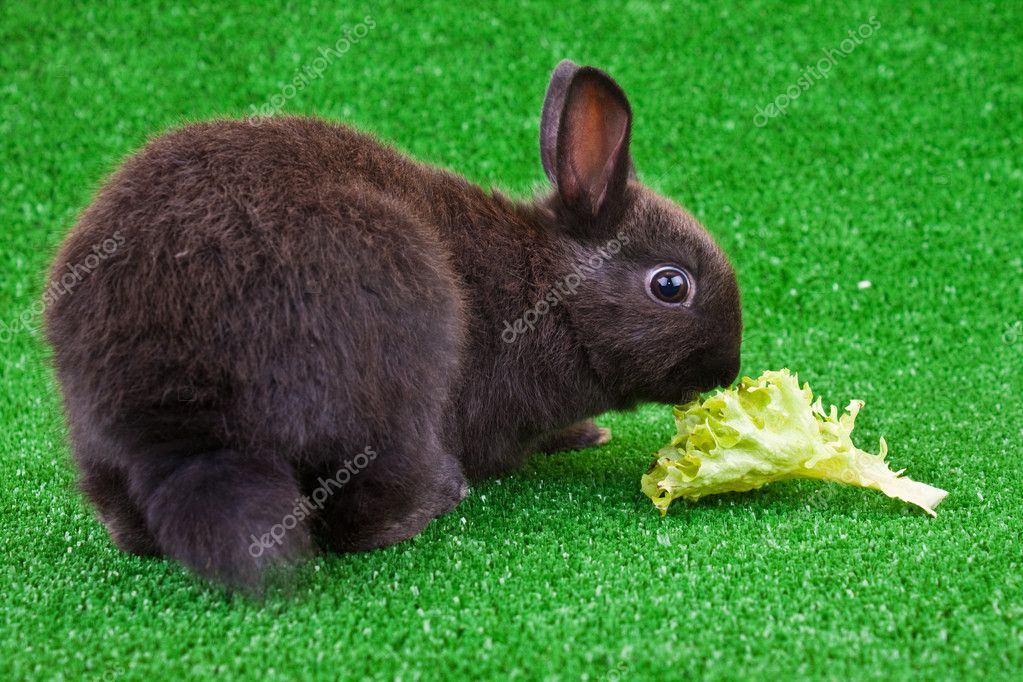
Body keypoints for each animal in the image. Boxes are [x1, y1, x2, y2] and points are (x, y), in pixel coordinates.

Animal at [44, 60, 742, 587]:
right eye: (671, 285)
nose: (727, 369)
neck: (551, 291)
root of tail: (181, 418)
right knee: (366, 512)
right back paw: (442, 496)